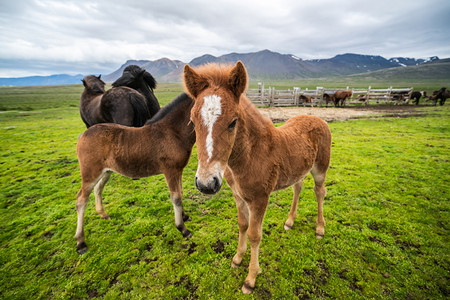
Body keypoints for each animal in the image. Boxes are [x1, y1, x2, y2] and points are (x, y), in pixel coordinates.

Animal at [74, 92, 194, 254]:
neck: (172, 132)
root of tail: (83, 135)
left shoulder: (178, 170)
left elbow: (180, 193)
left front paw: (184, 216)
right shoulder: (170, 170)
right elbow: (176, 198)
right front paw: (183, 229)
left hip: (106, 171)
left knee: (98, 188)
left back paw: (103, 214)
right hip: (90, 173)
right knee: (81, 200)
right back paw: (81, 242)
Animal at [184, 62, 334, 294]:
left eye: (233, 122)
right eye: (192, 122)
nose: (207, 183)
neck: (250, 156)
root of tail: (316, 118)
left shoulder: (260, 199)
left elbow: (255, 235)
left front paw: (251, 278)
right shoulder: (239, 197)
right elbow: (242, 225)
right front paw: (237, 258)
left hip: (320, 169)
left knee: (320, 192)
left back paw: (319, 228)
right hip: (299, 169)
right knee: (298, 188)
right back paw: (290, 221)